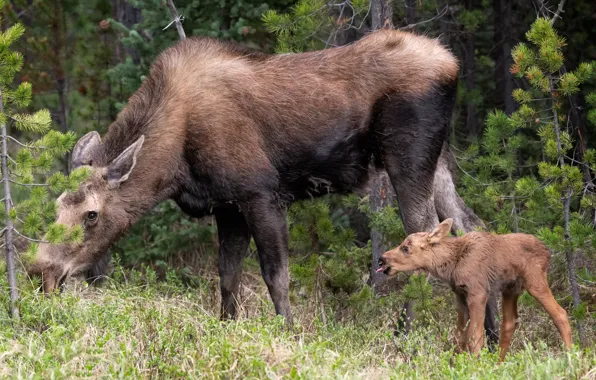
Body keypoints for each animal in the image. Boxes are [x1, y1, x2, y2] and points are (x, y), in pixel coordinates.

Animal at [28, 29, 494, 332]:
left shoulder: (261, 193)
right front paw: (227, 327)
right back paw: (487, 339)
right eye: (55, 206)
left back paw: (407, 331)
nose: (40, 272)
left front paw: (290, 333)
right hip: (439, 160)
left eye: (91, 214)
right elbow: (227, 276)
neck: (175, 163)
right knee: (473, 228)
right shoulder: (227, 205)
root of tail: (451, 64)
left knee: (427, 238)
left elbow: (276, 276)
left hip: (407, 155)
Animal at [378, 218, 572, 360]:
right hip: (510, 289)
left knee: (560, 313)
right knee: (509, 323)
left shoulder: (477, 293)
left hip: (535, 280)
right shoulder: (460, 296)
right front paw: (456, 363)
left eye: (405, 248)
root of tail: (548, 252)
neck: (451, 266)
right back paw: (498, 363)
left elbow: (475, 336)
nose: (381, 260)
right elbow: (460, 336)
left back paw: (570, 356)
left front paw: (476, 364)